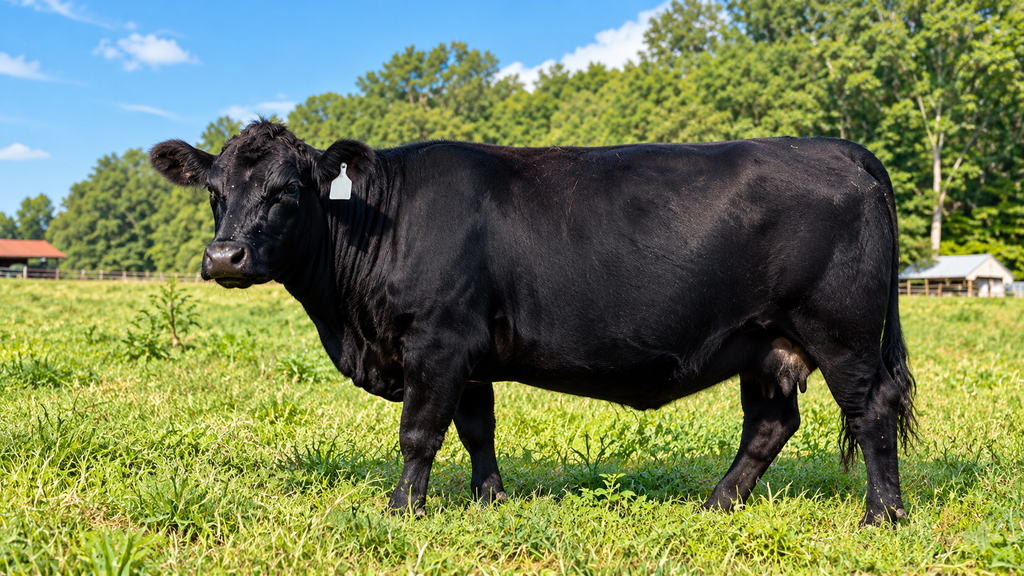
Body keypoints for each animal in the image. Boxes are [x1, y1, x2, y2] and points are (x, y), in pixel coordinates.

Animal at [149, 120, 916, 526]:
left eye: (286, 191)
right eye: (215, 192)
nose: (223, 256)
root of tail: (836, 148)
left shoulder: (437, 342)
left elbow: (419, 433)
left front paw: (402, 509)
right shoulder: (468, 356)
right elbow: (476, 429)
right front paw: (489, 500)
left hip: (841, 333)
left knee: (872, 410)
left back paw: (882, 514)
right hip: (762, 342)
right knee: (769, 424)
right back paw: (717, 505)